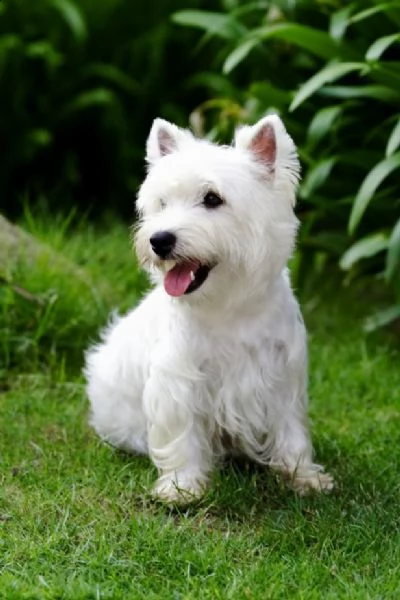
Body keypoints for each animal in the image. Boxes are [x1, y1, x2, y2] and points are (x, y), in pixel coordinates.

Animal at [85, 113, 334, 502]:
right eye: (162, 203)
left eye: (212, 199)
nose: (159, 240)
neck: (230, 307)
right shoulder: (180, 379)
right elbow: (182, 433)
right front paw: (182, 487)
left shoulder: (282, 377)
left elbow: (291, 430)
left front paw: (303, 476)